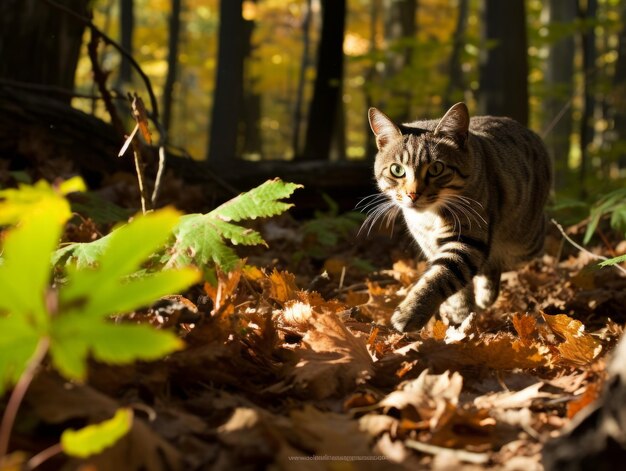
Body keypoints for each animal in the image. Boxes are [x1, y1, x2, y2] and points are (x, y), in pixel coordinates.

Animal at [366, 103, 552, 332]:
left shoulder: (468, 238)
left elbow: (440, 277)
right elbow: (454, 287)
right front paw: (459, 317)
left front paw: (411, 312)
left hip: (525, 243)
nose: (412, 194)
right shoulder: (431, 245)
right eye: (397, 170)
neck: (428, 218)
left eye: (436, 168)